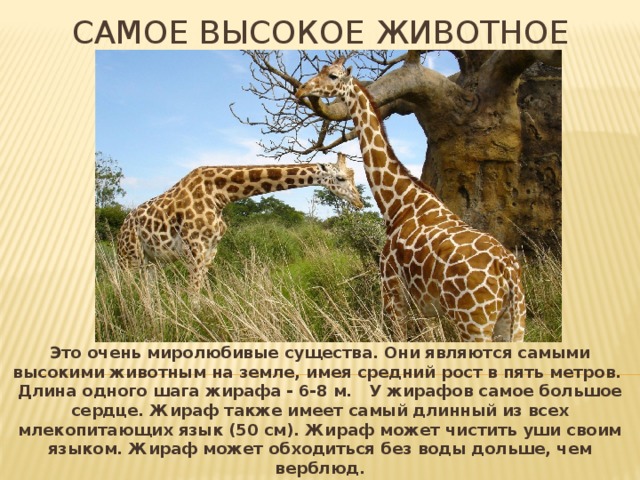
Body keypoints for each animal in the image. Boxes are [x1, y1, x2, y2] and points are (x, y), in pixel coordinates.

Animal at [117, 153, 363, 291]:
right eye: (340, 178)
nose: (359, 202)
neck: (220, 195)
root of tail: (122, 226)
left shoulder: (210, 251)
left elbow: (203, 294)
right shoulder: (194, 249)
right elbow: (193, 296)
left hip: (152, 261)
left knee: (148, 293)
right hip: (129, 258)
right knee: (126, 291)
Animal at [296, 57, 526, 342]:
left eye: (333, 76)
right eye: (322, 70)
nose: (302, 90)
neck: (398, 204)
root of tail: (508, 273)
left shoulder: (392, 288)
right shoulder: (426, 306)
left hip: (474, 323)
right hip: (513, 323)